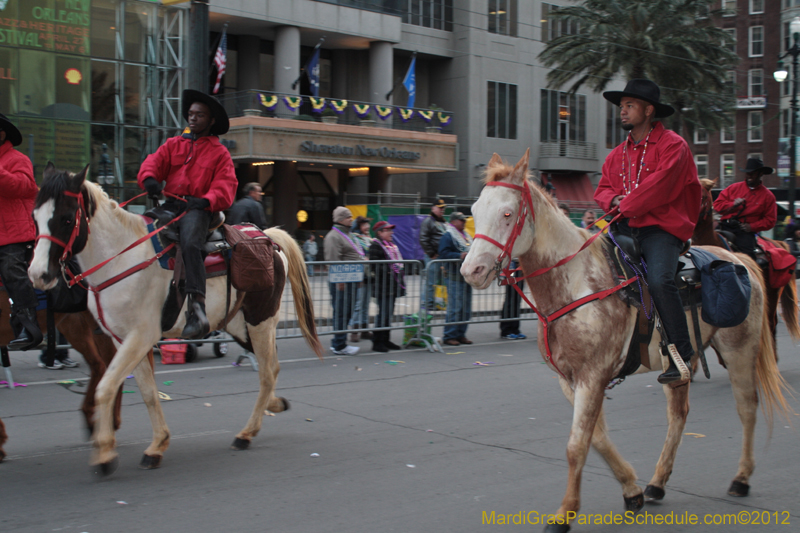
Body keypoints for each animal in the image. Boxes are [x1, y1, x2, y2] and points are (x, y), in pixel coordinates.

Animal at [28, 164, 322, 476]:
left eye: (66, 218)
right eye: (35, 217)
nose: (38, 275)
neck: (121, 258)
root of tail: (268, 237)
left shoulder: (140, 336)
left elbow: (105, 387)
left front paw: (105, 453)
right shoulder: (124, 339)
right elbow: (147, 392)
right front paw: (157, 445)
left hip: (260, 321)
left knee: (267, 372)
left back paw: (246, 433)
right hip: (239, 325)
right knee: (271, 367)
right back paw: (274, 405)